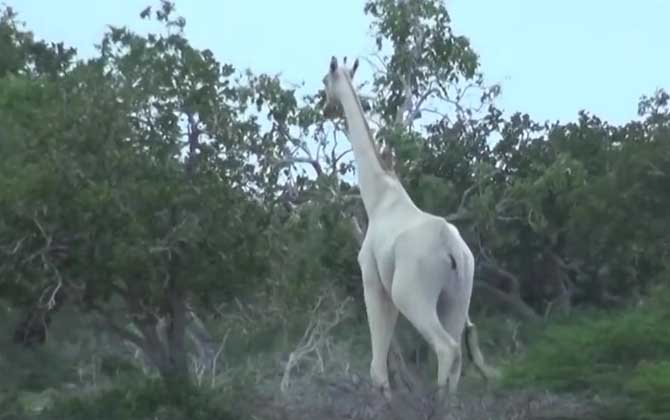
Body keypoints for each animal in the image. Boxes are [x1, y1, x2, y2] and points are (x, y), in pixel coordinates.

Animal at [320, 57, 498, 398]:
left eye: (325, 81)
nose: (324, 108)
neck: (378, 198)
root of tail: (452, 249)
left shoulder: (373, 281)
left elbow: (378, 364)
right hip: (457, 297)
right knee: (458, 356)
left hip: (411, 294)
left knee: (446, 348)